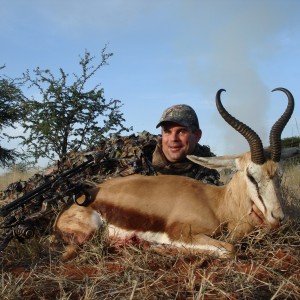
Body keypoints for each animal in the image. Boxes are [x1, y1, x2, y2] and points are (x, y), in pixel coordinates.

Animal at [52, 87, 298, 260]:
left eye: (279, 174)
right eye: (251, 175)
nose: (278, 217)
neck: (217, 204)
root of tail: (67, 207)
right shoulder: (180, 232)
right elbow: (229, 249)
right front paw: (157, 247)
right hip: (89, 234)